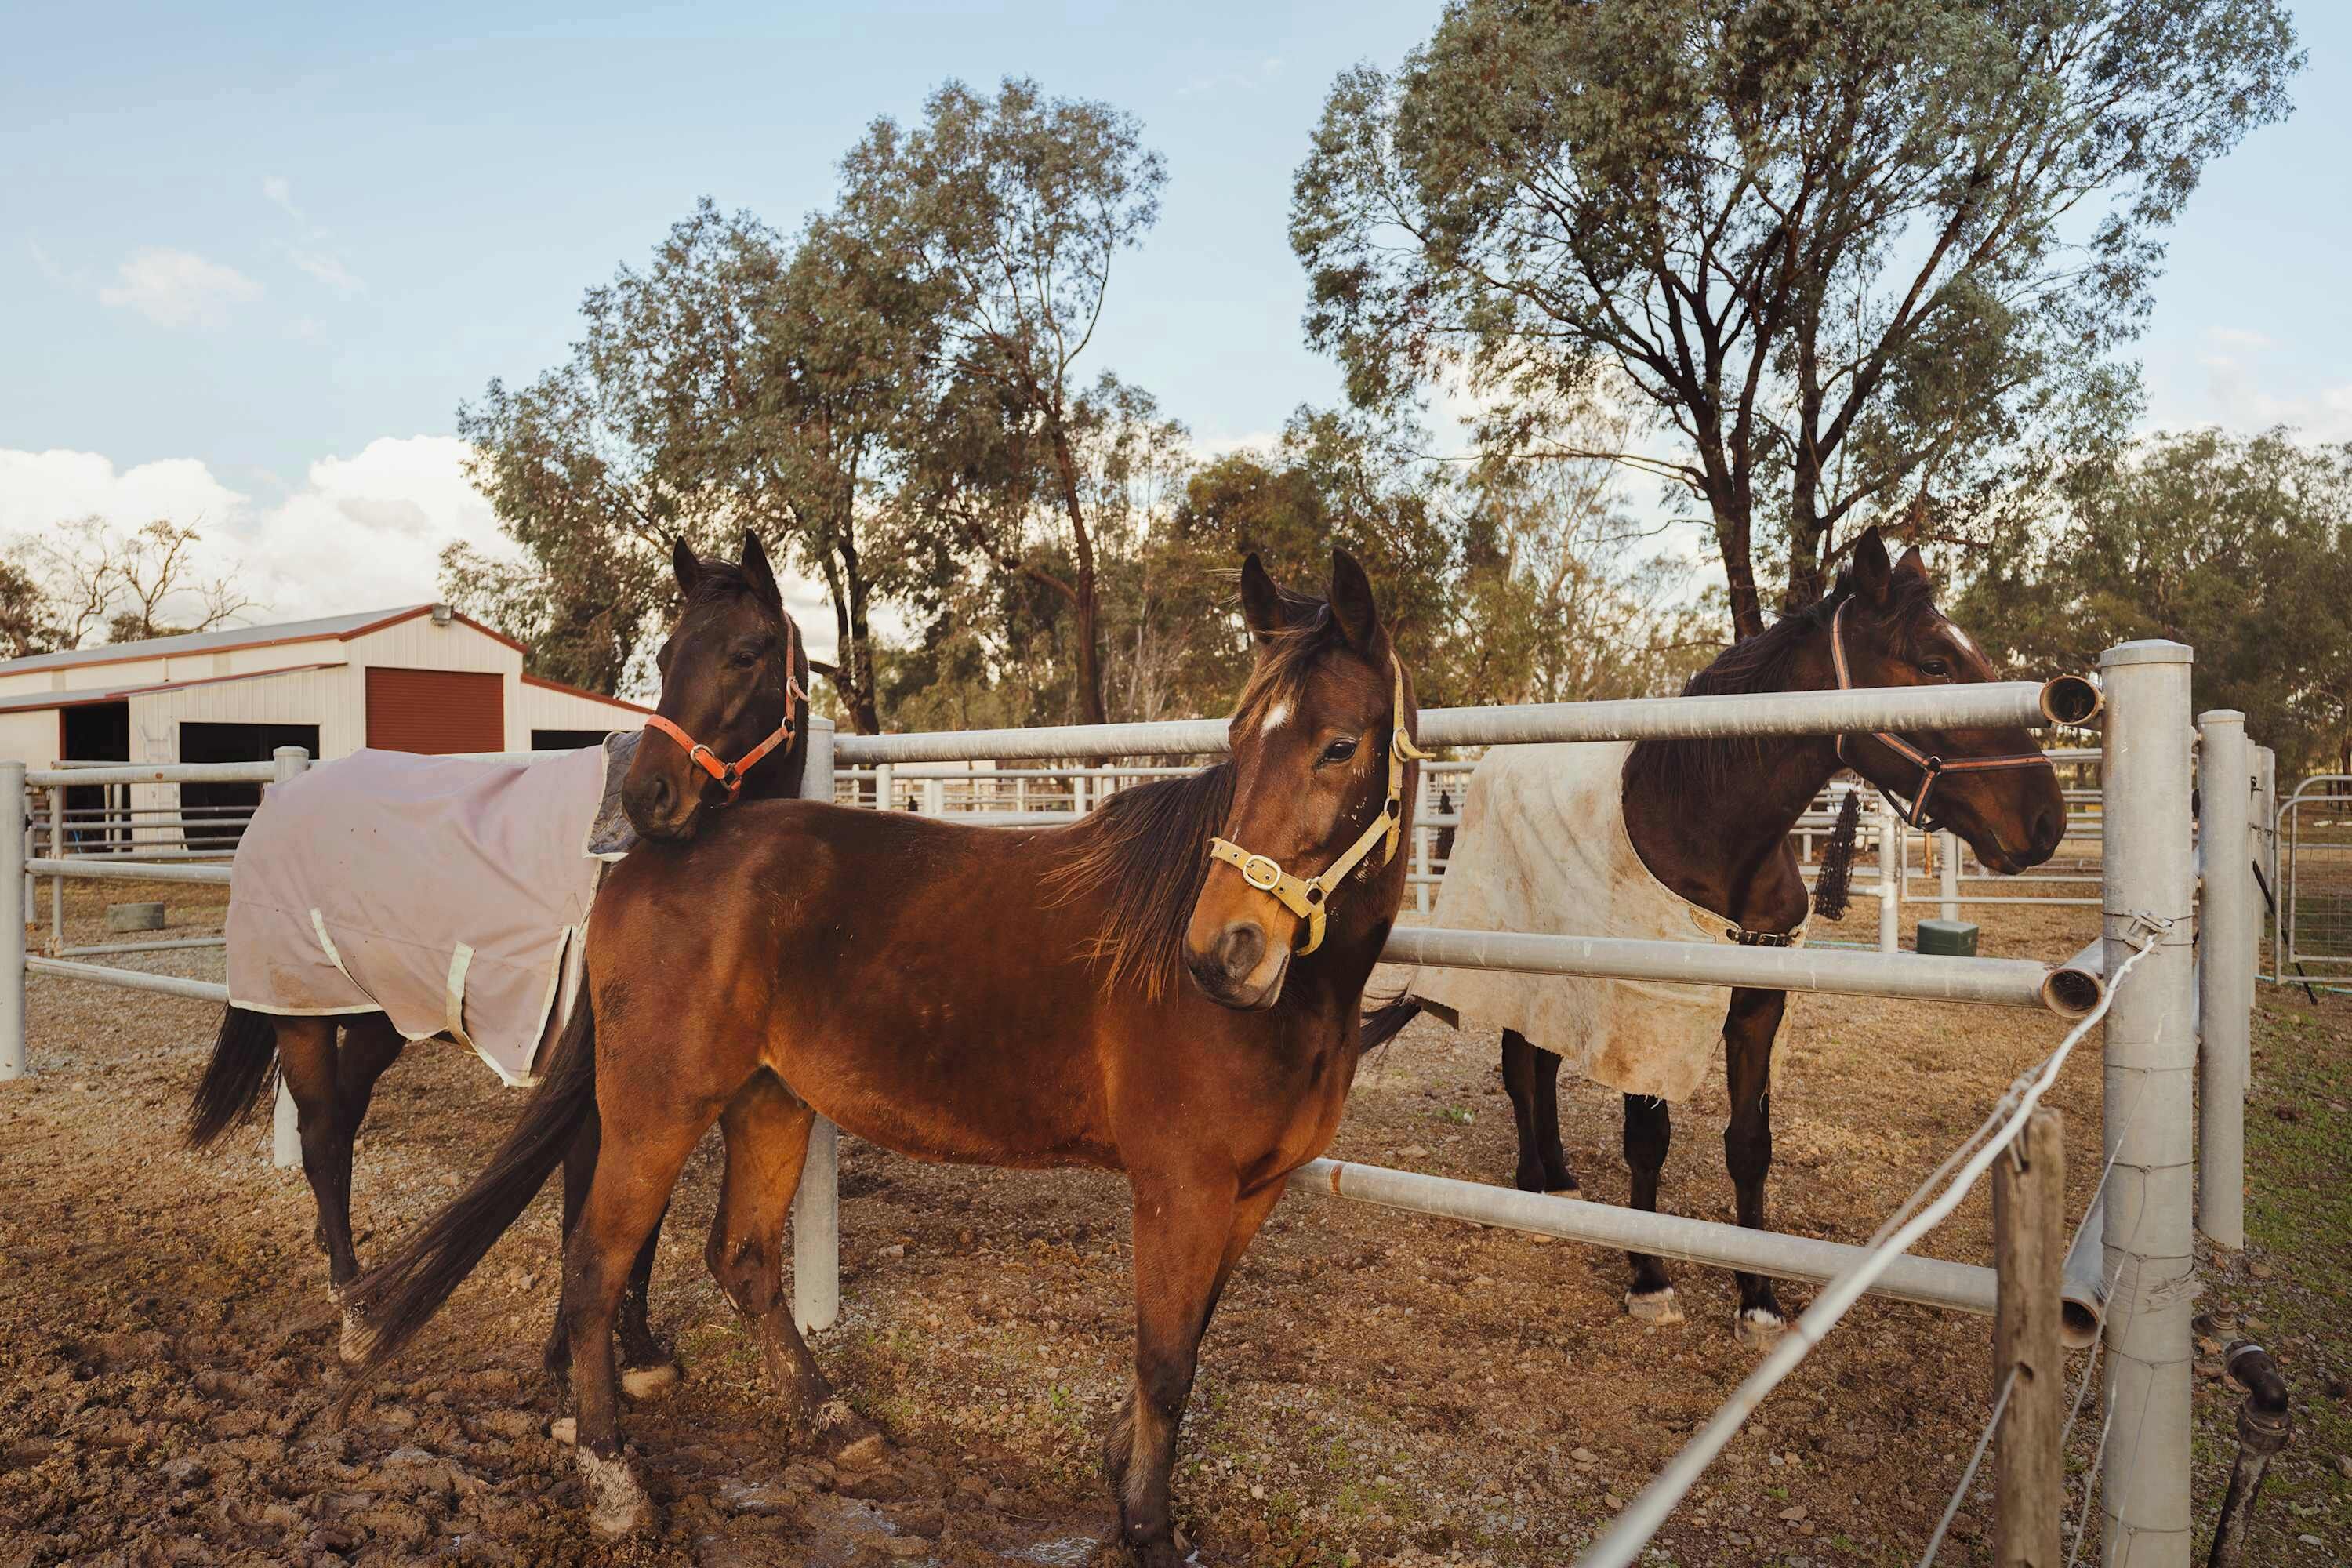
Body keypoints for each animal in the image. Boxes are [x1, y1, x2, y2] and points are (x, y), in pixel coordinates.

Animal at [184, 531, 809, 1389]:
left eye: (747, 653)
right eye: (665, 652)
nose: (650, 795)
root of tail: (277, 800)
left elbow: (640, 1222)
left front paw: (643, 1351)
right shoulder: (593, 1092)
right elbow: (590, 1215)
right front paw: (568, 1359)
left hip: (383, 1018)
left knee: (343, 1121)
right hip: (302, 1016)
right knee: (320, 1135)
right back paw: (353, 1308)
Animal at [342, 550, 1421, 1564]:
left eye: (1338, 744)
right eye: (1238, 744)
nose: (1225, 951)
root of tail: (655, 849)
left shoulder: (1251, 1191)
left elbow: (1186, 1338)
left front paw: (1125, 1467)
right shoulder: (1180, 1184)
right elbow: (1165, 1357)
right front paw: (1146, 1525)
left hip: (770, 1100)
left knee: (740, 1257)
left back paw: (832, 1420)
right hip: (657, 1106)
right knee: (595, 1263)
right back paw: (614, 1479)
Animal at [1366, 527, 2068, 1342]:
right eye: (1933, 664)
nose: (2046, 821)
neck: (1707, 829)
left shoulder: (1758, 1007)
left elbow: (1749, 1147)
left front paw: (1758, 1296)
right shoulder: (1653, 1010)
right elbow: (1648, 1145)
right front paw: (1648, 1278)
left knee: (1540, 1065)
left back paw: (1563, 1181)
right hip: (1512, 968)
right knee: (1520, 1069)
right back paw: (1533, 1187)